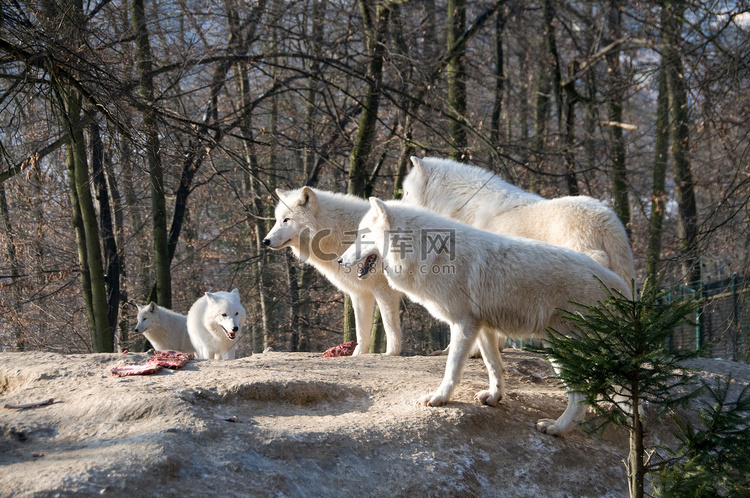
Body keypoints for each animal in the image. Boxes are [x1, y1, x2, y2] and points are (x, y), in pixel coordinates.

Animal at [264, 186, 406, 354]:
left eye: (286, 220)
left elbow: (390, 326)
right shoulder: (360, 293)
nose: (265, 241)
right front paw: (357, 354)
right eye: (277, 220)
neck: (336, 231)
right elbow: (361, 331)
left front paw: (391, 353)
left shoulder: (384, 290)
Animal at [340, 198, 636, 436]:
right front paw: (494, 396)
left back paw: (556, 428)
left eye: (363, 236)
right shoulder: (481, 327)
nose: (341, 261)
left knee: (583, 394)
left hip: (561, 350)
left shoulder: (463, 324)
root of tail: (621, 288)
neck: (432, 252)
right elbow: (495, 366)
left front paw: (440, 398)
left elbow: (452, 369)